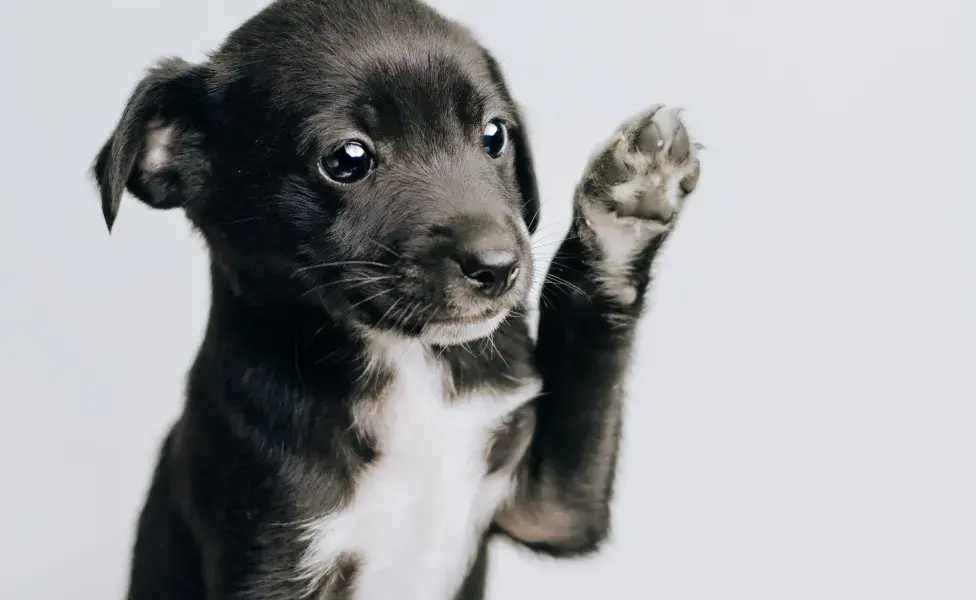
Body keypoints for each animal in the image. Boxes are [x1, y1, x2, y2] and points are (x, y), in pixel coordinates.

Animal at [91, 1, 700, 600]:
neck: (406, 365)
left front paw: (629, 203)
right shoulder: (272, 551)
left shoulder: (551, 509)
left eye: (494, 135)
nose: (499, 266)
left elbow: (591, 360)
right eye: (348, 158)